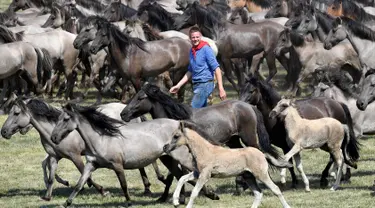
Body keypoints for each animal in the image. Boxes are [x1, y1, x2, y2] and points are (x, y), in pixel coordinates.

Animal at [50, 103, 220, 207]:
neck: (102, 138)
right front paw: (66, 203)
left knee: (195, 172)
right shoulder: (91, 165)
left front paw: (129, 202)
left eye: (66, 119)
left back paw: (212, 194)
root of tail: (178, 123)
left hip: (181, 157)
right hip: (167, 158)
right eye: (58, 118)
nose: (54, 138)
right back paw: (182, 199)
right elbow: (79, 184)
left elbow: (124, 185)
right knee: (180, 175)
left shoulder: (117, 165)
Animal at [122, 83, 284, 194]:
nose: (123, 114)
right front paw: (164, 197)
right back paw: (240, 185)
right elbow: (174, 175)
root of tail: (249, 106)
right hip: (233, 140)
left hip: (249, 138)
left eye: (140, 97)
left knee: (260, 154)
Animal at [163, 121, 292, 208]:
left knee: (275, 189)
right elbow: (182, 179)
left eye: (176, 136)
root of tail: (261, 153)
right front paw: (175, 201)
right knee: (258, 194)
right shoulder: (198, 173)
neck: (205, 150)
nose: (165, 147)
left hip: (261, 175)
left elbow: (194, 192)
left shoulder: (205, 175)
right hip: (248, 176)